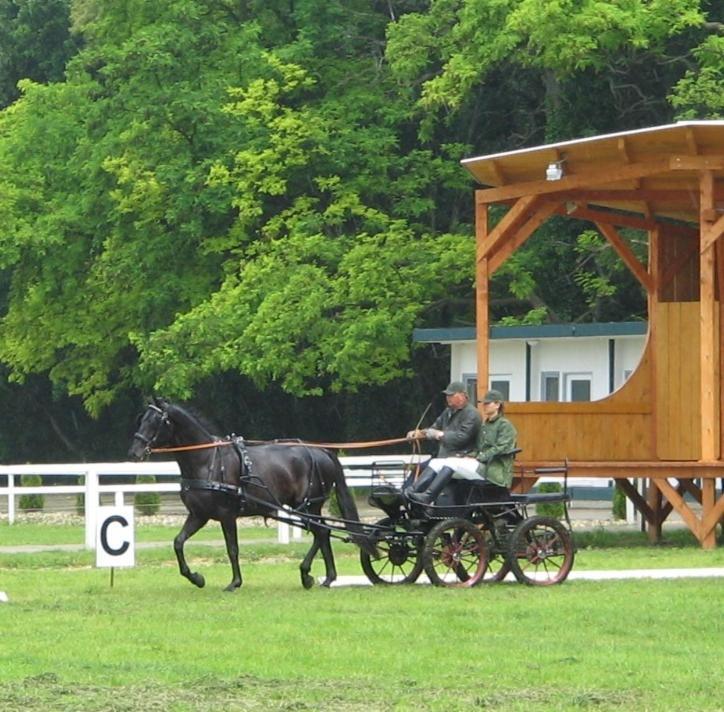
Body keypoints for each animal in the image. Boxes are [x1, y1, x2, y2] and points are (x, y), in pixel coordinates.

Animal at [127, 398, 370, 592]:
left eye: (155, 421)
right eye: (141, 419)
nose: (134, 453)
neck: (207, 461)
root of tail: (322, 451)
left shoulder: (226, 515)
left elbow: (232, 549)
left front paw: (235, 582)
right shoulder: (198, 515)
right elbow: (178, 543)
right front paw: (196, 578)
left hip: (309, 505)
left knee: (321, 532)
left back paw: (310, 574)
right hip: (309, 507)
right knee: (323, 534)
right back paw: (325, 578)